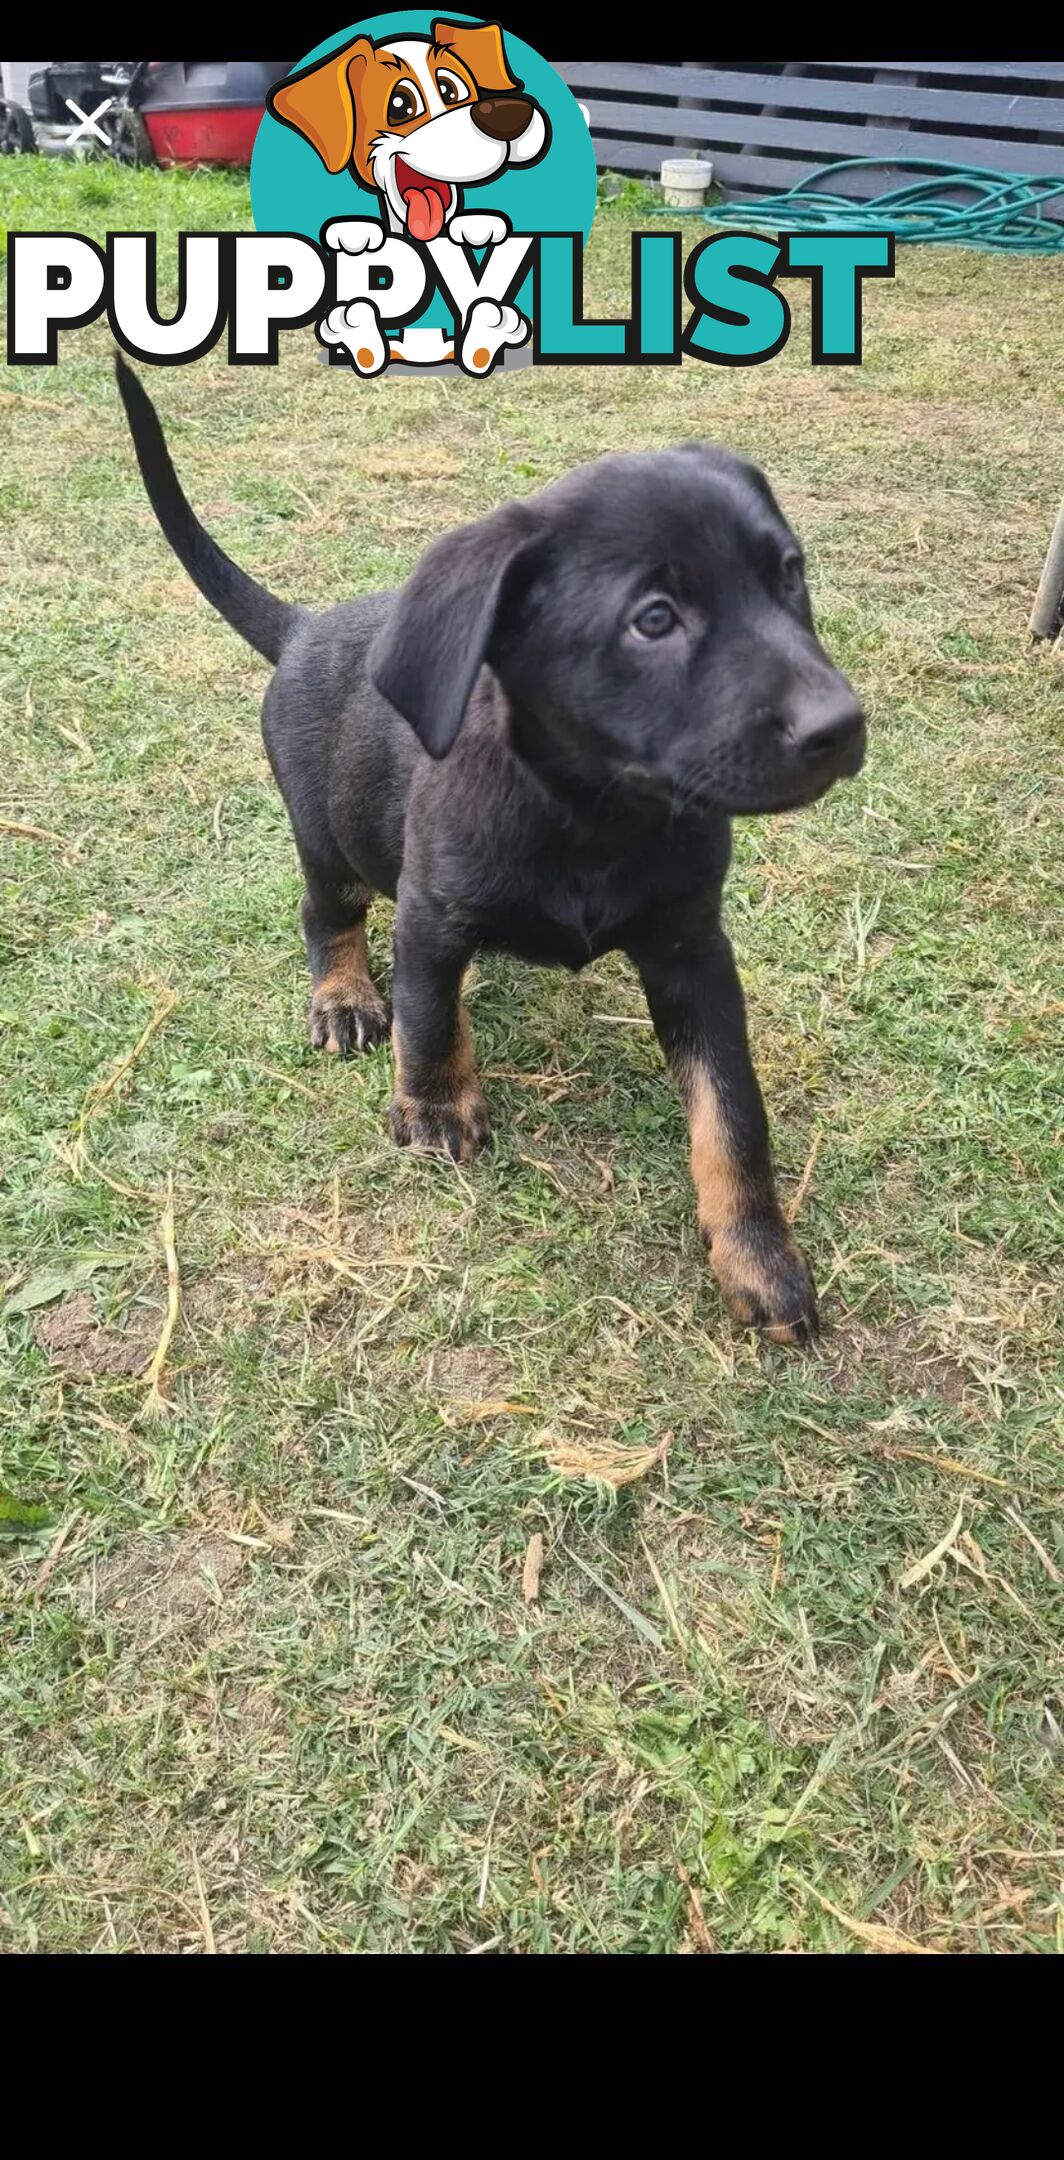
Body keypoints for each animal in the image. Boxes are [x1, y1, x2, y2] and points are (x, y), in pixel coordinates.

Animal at [116, 360, 863, 1339]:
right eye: (654, 619)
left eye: (792, 575)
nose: (841, 727)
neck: (593, 817)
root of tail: (306, 629)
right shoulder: (433, 912)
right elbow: (430, 1016)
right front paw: (435, 1107)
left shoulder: (693, 951)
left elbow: (731, 1114)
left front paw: (757, 1251)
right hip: (329, 842)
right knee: (329, 916)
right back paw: (345, 995)